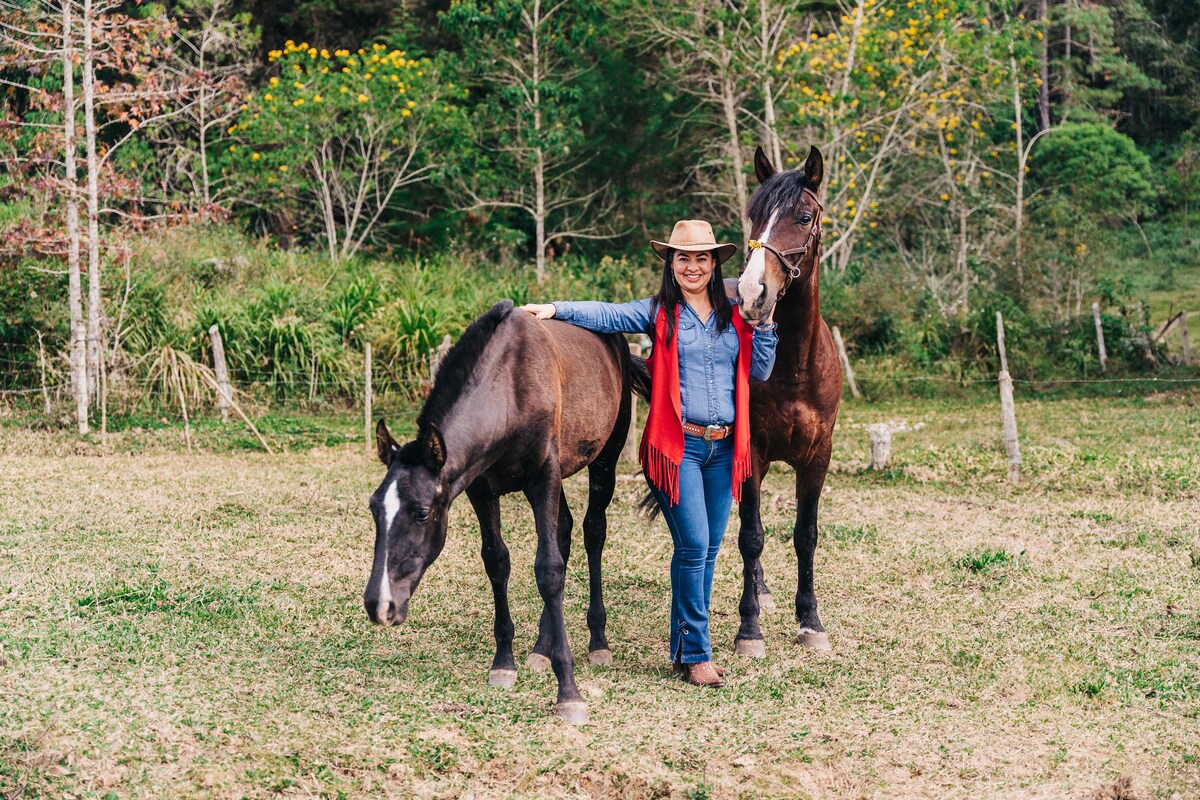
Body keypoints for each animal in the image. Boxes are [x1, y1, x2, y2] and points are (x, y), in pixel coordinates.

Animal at [360, 299, 633, 724]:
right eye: (375, 508)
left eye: (421, 513)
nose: (379, 604)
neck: (510, 388)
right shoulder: (481, 488)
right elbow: (497, 561)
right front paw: (504, 663)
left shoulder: (543, 476)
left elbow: (548, 570)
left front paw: (569, 693)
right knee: (565, 530)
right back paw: (540, 648)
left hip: (605, 460)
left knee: (593, 532)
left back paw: (597, 642)